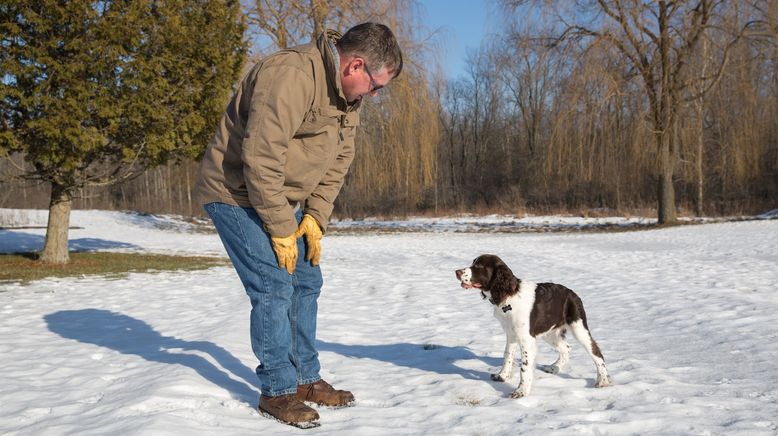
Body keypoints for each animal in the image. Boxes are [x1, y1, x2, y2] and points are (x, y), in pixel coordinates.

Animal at [452, 254, 608, 396]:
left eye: (479, 266)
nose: (457, 272)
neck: (509, 297)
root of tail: (573, 293)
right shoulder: (511, 334)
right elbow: (507, 356)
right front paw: (502, 376)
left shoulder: (526, 338)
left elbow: (525, 367)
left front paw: (521, 391)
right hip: (550, 332)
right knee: (567, 348)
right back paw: (554, 368)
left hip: (578, 327)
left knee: (596, 352)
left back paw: (603, 381)